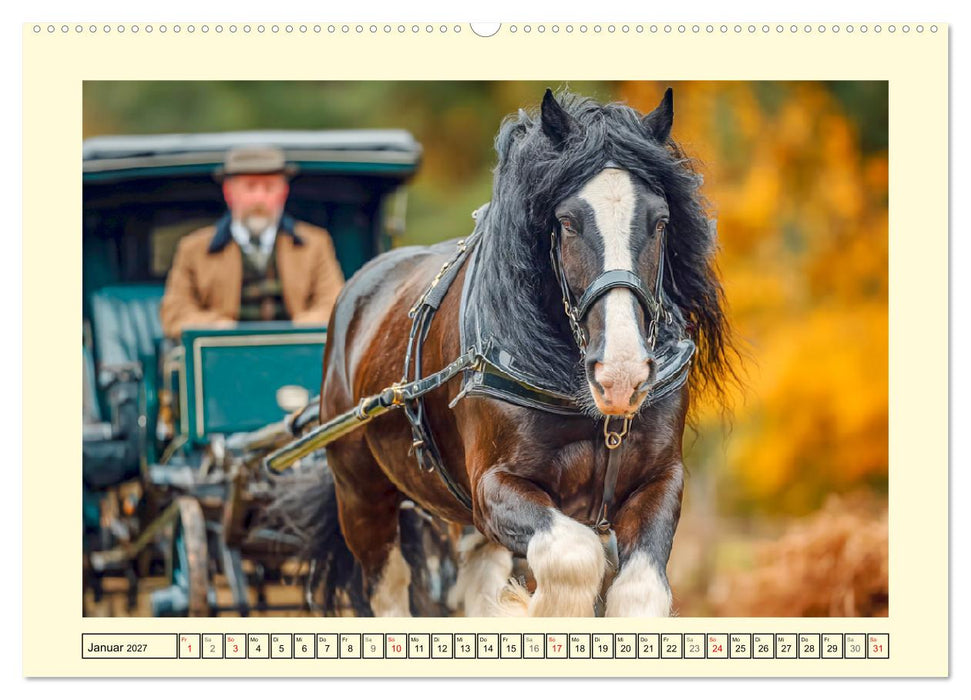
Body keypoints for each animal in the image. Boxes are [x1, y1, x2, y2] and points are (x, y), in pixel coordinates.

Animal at [290, 88, 735, 617]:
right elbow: (573, 559)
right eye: (567, 222)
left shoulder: (660, 481)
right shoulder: (494, 487)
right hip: (361, 497)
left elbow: (640, 591)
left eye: (661, 221)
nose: (622, 376)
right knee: (389, 590)